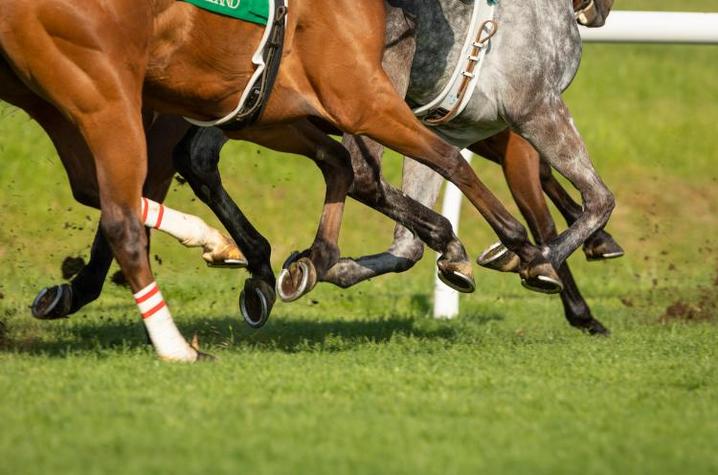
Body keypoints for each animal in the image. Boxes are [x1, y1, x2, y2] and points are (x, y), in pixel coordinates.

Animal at [1, 0, 584, 360]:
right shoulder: (358, 98)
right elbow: (444, 163)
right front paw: (524, 253)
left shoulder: (268, 106)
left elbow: (344, 166)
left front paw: (302, 261)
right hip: (101, 95)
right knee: (120, 205)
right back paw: (175, 343)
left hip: (69, 98)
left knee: (107, 192)